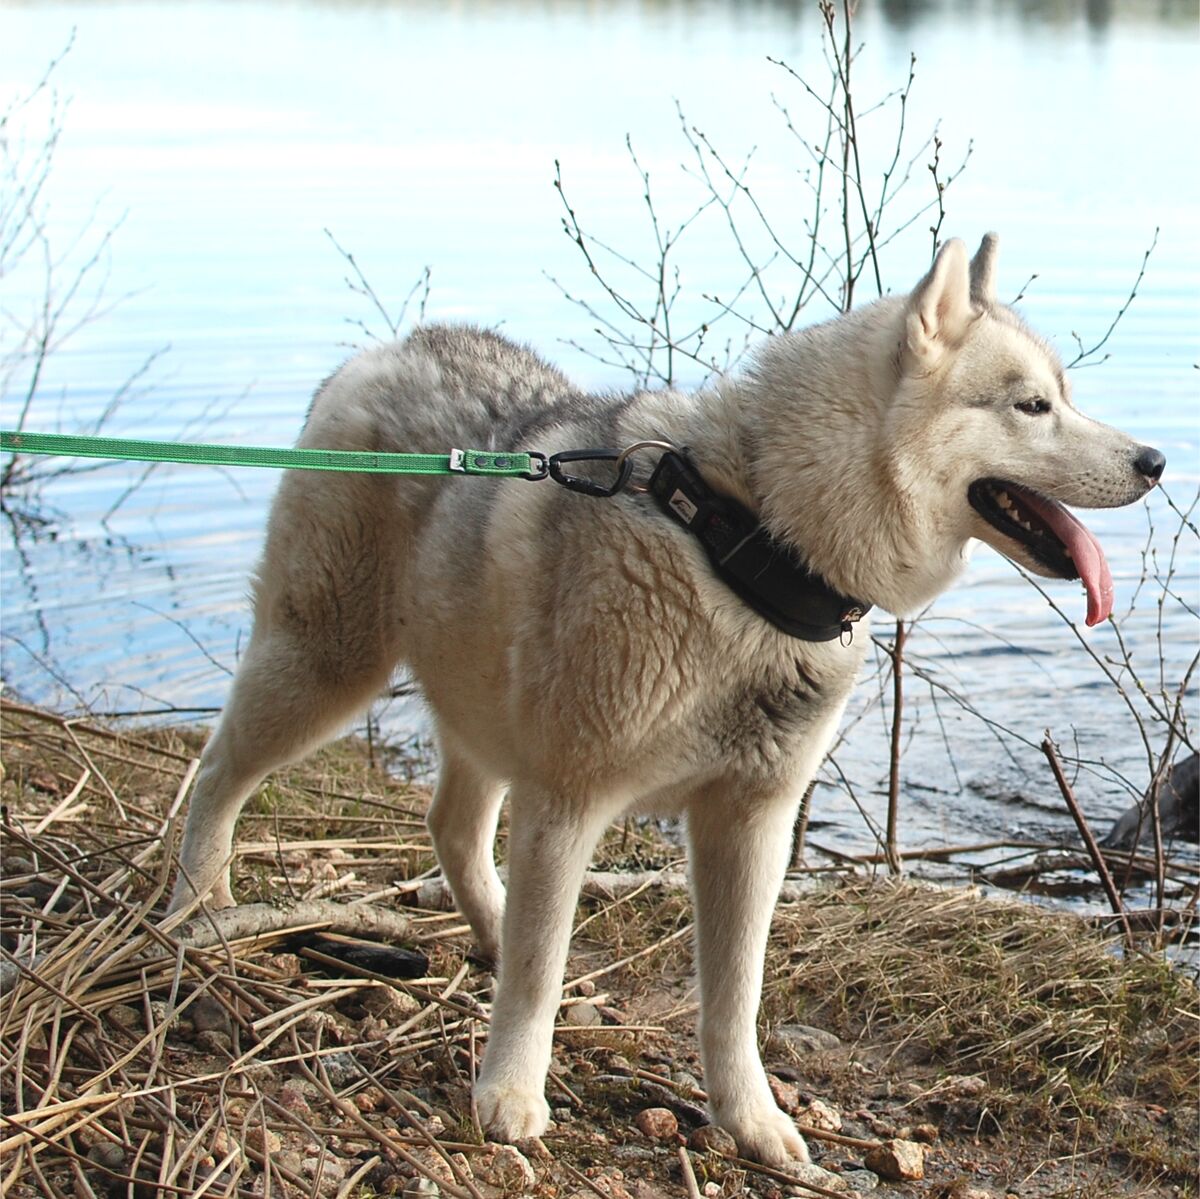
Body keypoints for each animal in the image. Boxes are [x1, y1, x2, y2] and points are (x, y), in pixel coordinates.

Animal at [169, 238, 1161, 1166]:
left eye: (1063, 394)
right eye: (1031, 405)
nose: (1153, 459)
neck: (749, 547)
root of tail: (395, 347)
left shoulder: (751, 823)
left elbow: (733, 998)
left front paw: (749, 1119)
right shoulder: (568, 800)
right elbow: (541, 966)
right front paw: (511, 1091)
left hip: (479, 713)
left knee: (451, 826)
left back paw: (482, 930)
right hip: (324, 667)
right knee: (217, 771)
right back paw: (196, 908)